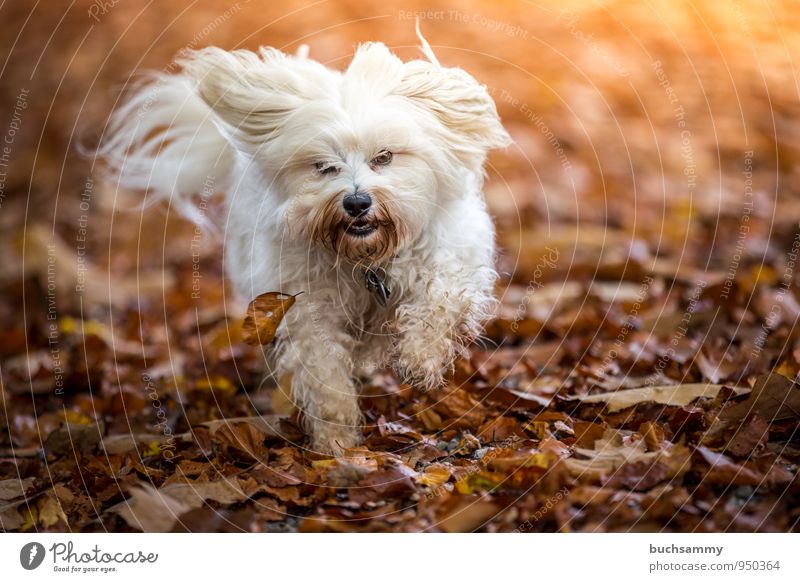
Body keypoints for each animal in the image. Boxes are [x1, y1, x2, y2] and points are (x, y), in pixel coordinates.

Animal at [100, 32, 510, 456]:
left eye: (384, 157)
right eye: (324, 166)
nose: (357, 202)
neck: (366, 260)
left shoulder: (451, 258)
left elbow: (438, 300)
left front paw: (419, 359)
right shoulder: (309, 308)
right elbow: (325, 374)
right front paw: (335, 443)